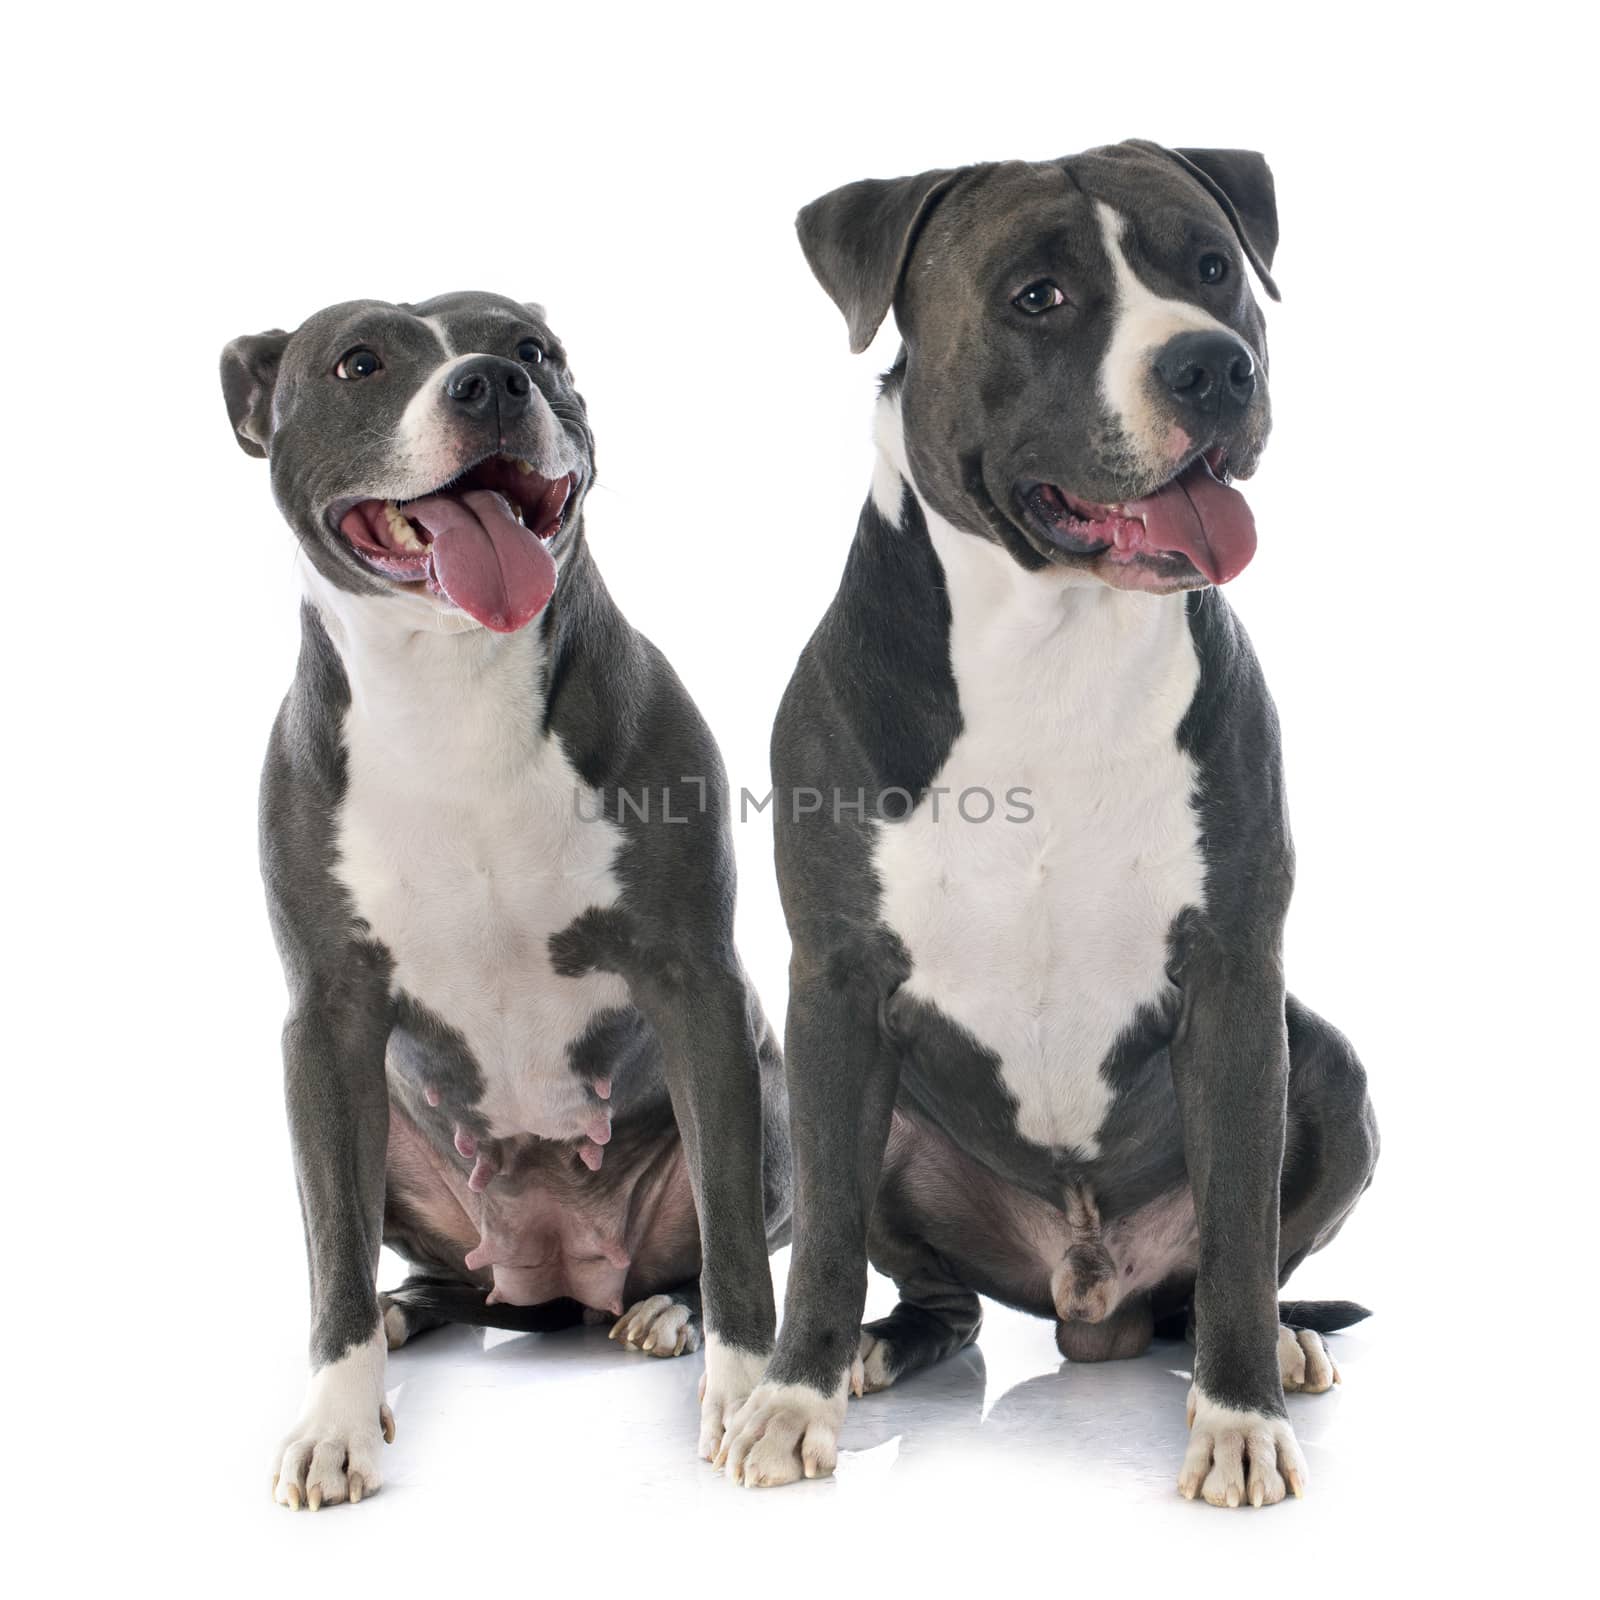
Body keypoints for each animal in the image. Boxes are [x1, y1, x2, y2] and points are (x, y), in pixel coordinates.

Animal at [222, 291, 796, 1510]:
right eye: (357, 363)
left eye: (535, 348)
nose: (490, 380)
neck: (454, 686)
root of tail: (554, 1279)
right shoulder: (326, 1018)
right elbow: (330, 1250)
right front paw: (336, 1420)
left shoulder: (697, 987)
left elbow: (731, 1231)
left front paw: (742, 1391)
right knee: (401, 1261)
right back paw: (406, 1310)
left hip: (761, 1105)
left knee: (708, 1233)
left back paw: (662, 1307)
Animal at [720, 144, 1382, 1504]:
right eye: (1039, 297)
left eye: (1213, 268)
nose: (1210, 366)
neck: (1053, 640)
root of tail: (1089, 1303)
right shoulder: (834, 983)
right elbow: (821, 1238)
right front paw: (791, 1398)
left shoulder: (1236, 979)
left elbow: (1241, 1233)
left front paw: (1238, 1419)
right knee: (939, 1295)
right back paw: (874, 1347)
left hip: (1330, 1068)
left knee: (1219, 1278)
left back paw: (1280, 1346)